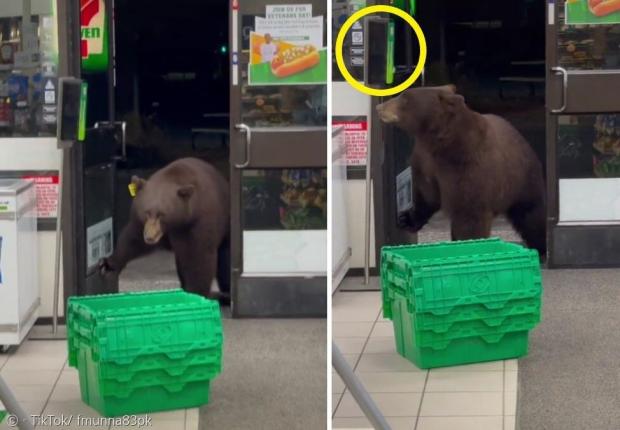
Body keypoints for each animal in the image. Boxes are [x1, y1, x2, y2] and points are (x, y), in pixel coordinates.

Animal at [99, 157, 230, 302]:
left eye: (161, 214)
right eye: (146, 212)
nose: (149, 237)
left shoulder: (198, 223)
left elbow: (200, 257)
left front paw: (196, 292)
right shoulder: (141, 223)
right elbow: (133, 240)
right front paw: (109, 263)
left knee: (225, 257)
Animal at [376, 85, 544, 256]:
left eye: (405, 98)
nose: (379, 107)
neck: (440, 143)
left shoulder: (467, 168)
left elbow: (469, 214)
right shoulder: (425, 161)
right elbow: (426, 194)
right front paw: (406, 219)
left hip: (522, 181)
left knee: (531, 216)